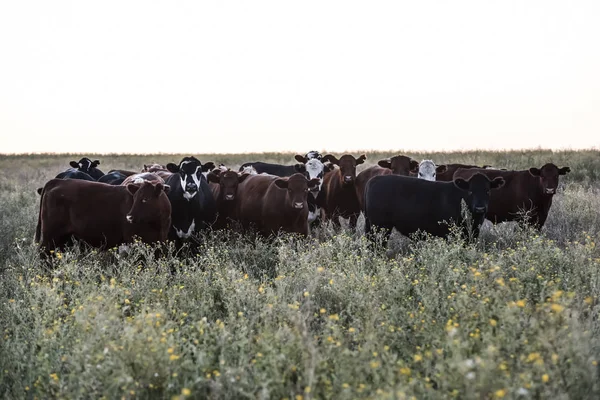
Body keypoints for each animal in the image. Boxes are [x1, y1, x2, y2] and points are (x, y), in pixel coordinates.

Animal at [35, 178, 171, 253]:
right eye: (135, 198)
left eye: (145, 199)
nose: (129, 217)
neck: (159, 224)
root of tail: (58, 181)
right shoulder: (134, 241)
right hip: (50, 235)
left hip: (62, 237)